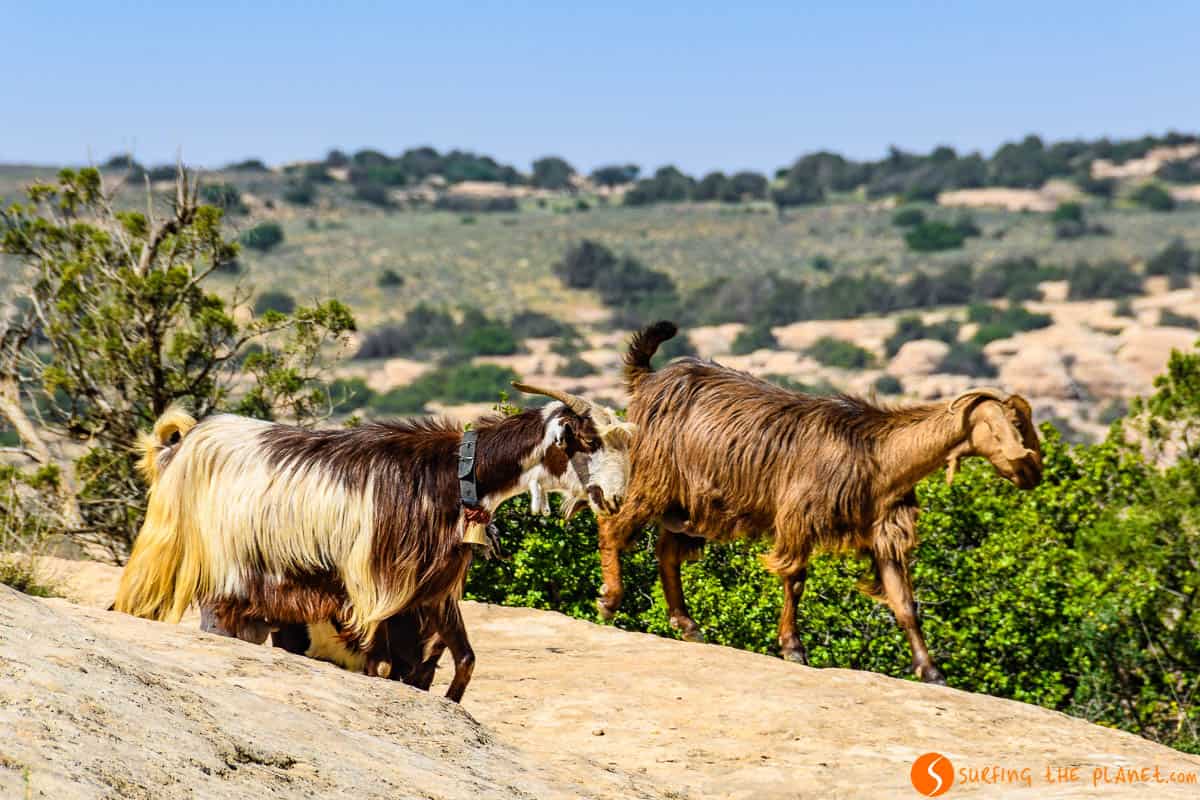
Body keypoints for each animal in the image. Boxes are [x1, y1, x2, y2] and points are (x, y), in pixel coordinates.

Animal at [114, 384, 634, 701]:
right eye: (588, 441)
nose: (614, 498)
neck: (451, 474)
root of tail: (181, 444)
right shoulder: (376, 588)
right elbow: (384, 667)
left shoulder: (432, 590)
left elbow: (463, 661)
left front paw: (449, 702)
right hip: (214, 571)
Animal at [596, 321, 1042, 683]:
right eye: (1014, 426)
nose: (1033, 473)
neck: (879, 454)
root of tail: (647, 380)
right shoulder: (800, 516)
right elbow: (795, 580)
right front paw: (793, 648)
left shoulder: (882, 532)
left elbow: (904, 602)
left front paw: (931, 671)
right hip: (655, 477)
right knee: (612, 525)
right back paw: (610, 600)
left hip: (689, 503)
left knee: (667, 551)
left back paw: (687, 624)